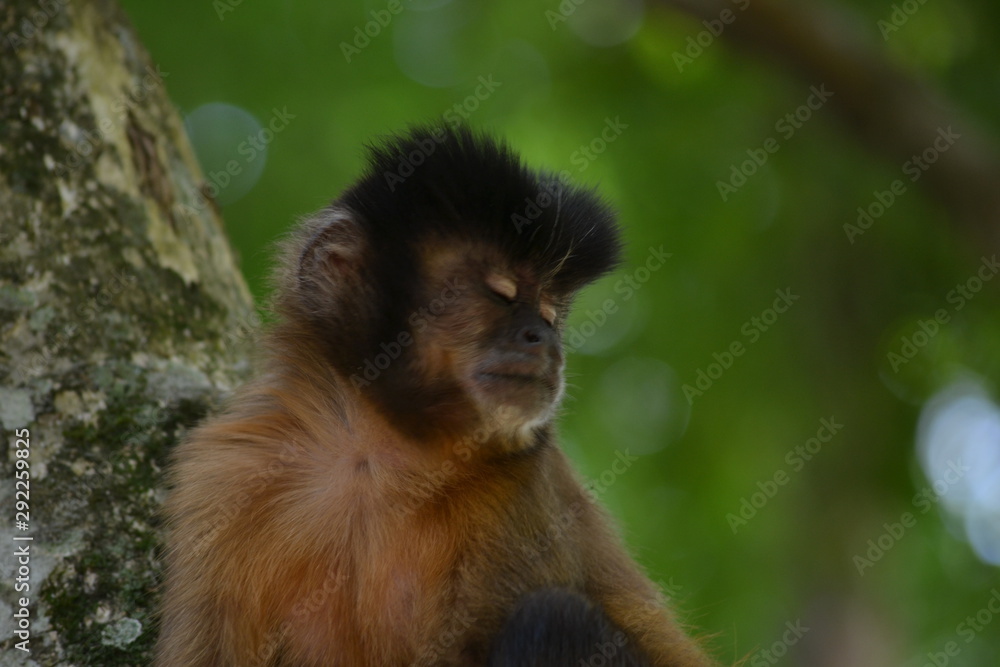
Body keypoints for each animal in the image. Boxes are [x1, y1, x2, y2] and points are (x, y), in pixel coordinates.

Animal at [155, 125, 718, 666]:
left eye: (550, 311)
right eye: (500, 293)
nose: (546, 339)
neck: (371, 454)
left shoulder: (519, 485)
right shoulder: (227, 473)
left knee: (553, 618)